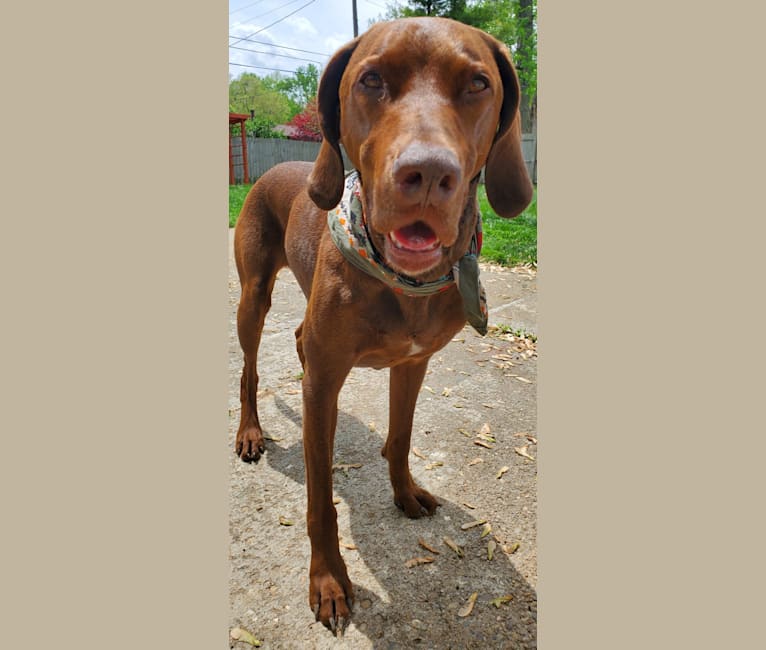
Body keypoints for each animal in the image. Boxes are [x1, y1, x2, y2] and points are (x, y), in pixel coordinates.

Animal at [234, 16, 536, 632]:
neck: (403, 282)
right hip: (253, 298)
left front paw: (405, 492)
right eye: (370, 79)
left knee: (296, 343)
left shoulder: (414, 362)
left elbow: (399, 437)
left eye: (477, 83)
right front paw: (328, 580)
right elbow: (320, 499)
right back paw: (249, 432)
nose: (428, 174)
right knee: (250, 370)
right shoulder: (323, 383)